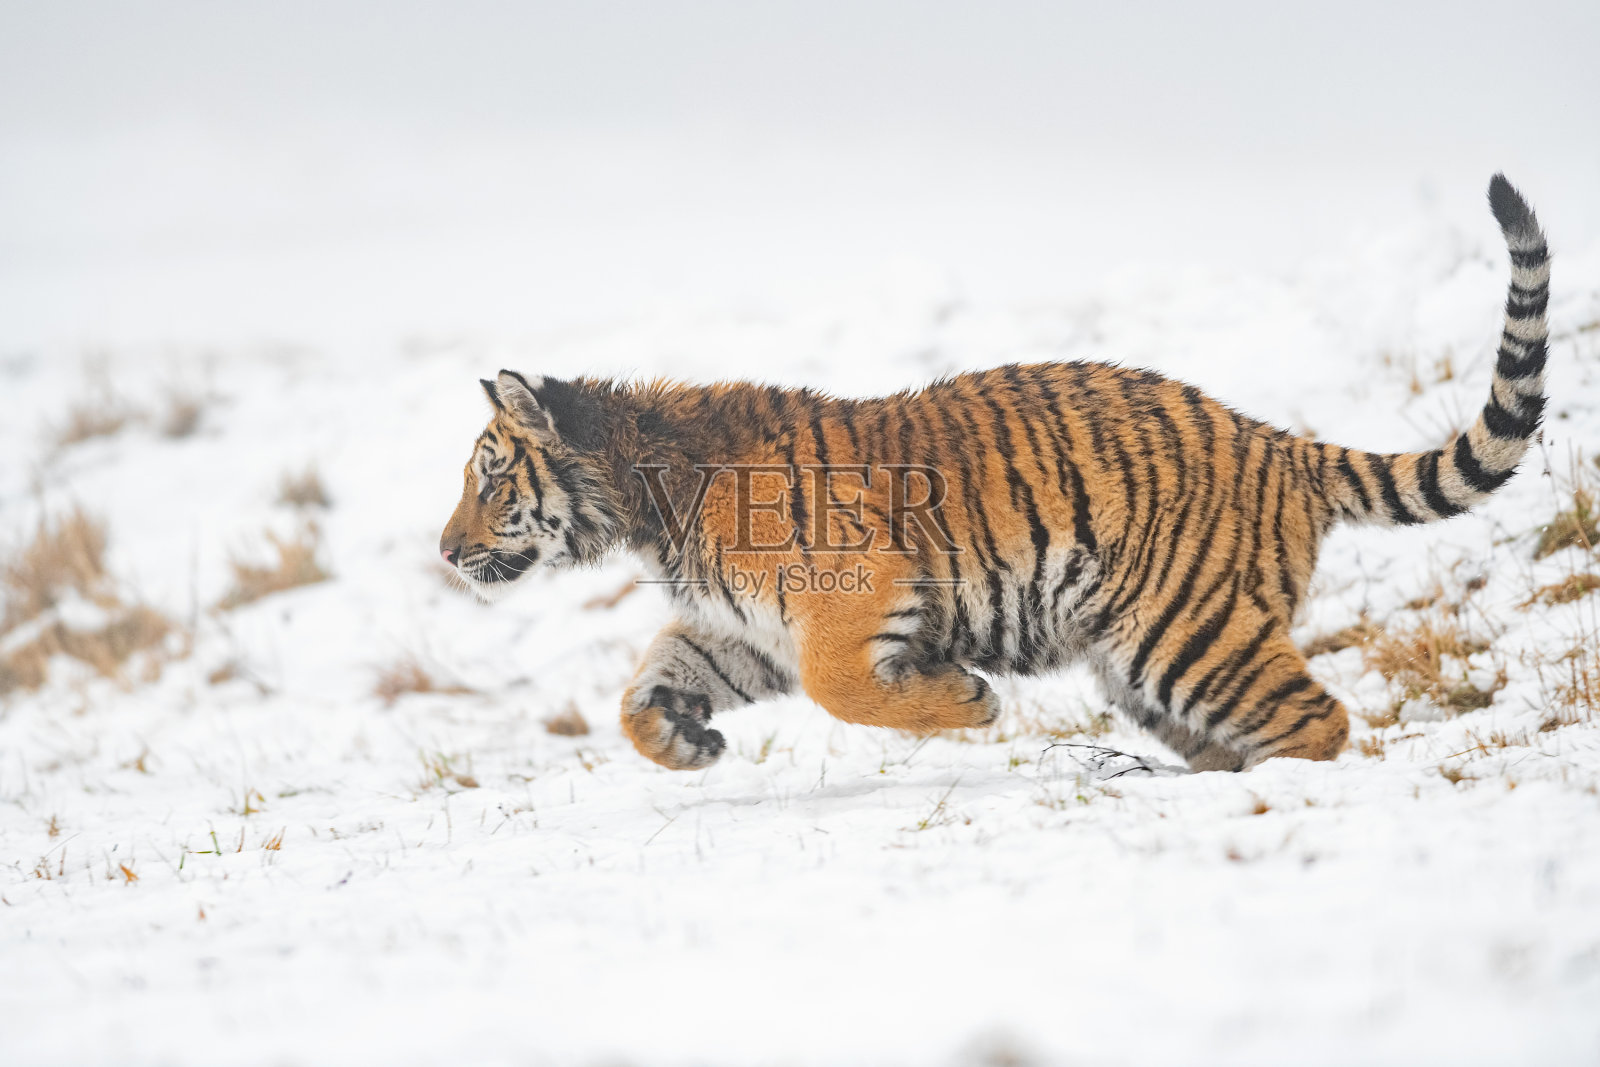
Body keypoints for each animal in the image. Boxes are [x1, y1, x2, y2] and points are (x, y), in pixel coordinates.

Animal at [440, 174, 1550, 773]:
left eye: (491, 480)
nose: (445, 552)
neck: (648, 497)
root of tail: (1276, 438)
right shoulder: (739, 627)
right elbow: (641, 689)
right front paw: (684, 744)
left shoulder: (851, 597)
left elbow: (842, 687)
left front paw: (965, 703)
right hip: (1147, 656)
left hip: (1184, 632)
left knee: (1316, 717)